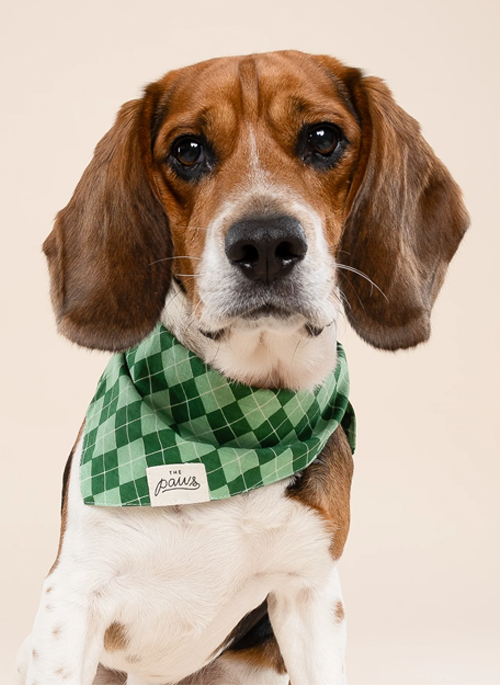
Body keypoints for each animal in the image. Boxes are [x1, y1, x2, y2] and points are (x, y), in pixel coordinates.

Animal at [16, 50, 468, 685]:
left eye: (323, 138)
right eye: (187, 150)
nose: (266, 242)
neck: (234, 426)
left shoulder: (310, 593)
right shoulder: (72, 599)